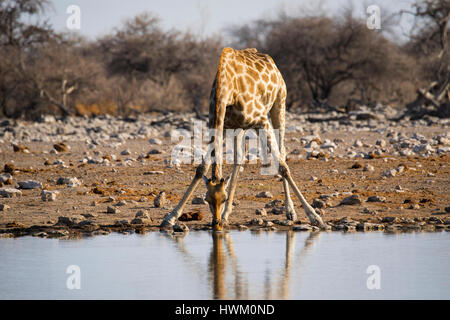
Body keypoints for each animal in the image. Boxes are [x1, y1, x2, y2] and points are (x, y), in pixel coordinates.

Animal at [160, 47, 326, 230]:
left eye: (223, 198)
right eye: (207, 199)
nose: (216, 224)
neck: (228, 90)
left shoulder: (262, 120)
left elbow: (282, 167)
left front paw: (315, 217)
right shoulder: (219, 125)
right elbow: (201, 168)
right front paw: (170, 217)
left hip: (279, 104)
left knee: (282, 152)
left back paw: (290, 212)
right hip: (238, 128)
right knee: (238, 158)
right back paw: (226, 215)